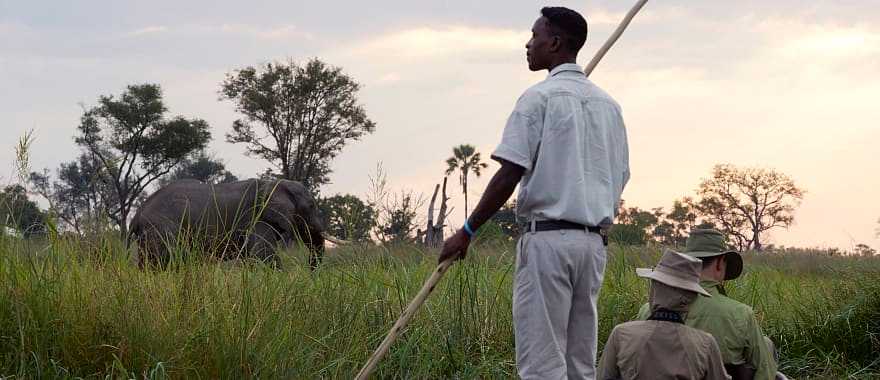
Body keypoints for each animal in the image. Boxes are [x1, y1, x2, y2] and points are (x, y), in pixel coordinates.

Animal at [131, 179, 334, 270]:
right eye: (311, 206)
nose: (311, 275)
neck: (276, 183)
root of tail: (137, 214)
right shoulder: (256, 218)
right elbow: (264, 253)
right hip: (162, 229)